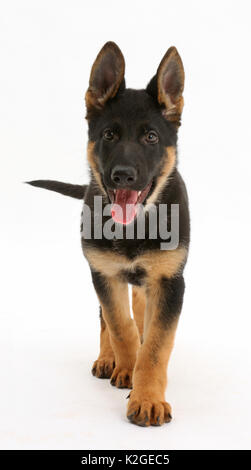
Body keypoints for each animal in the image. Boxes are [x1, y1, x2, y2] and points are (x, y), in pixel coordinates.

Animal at [28, 43, 189, 426]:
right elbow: (118, 324)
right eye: (109, 135)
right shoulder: (102, 272)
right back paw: (108, 359)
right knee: (108, 317)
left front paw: (148, 398)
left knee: (141, 308)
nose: (123, 175)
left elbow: (156, 344)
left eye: (151, 137)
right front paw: (127, 367)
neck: (137, 225)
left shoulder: (171, 282)